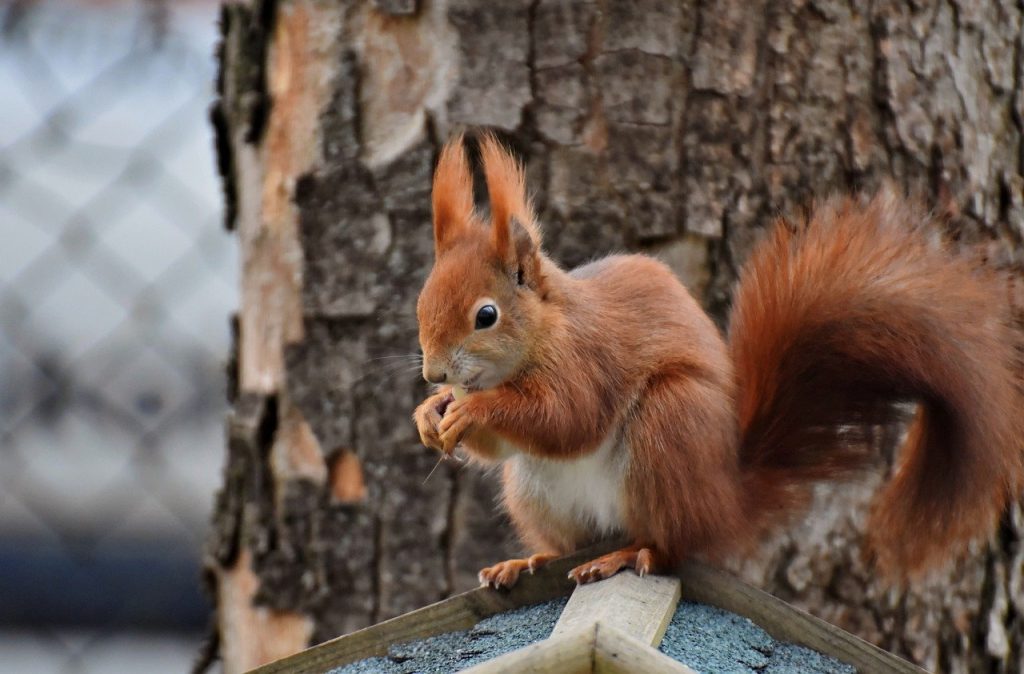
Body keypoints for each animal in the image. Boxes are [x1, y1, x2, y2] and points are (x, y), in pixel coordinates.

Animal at [413, 133, 1024, 588]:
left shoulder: (587, 359)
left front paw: (474, 409)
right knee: (570, 541)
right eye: (422, 302)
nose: (434, 373)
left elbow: (568, 418)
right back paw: (528, 561)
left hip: (669, 426)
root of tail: (725, 499)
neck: (543, 332)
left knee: (669, 546)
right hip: (536, 491)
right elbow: (503, 444)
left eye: (486, 315)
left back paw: (624, 557)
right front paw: (431, 413)